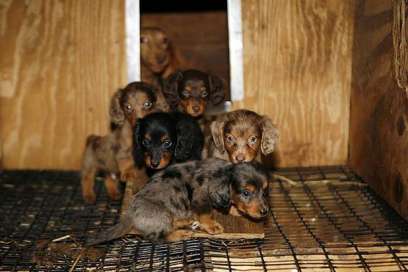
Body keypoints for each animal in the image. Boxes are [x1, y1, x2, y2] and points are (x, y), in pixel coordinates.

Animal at [86, 157, 270, 244]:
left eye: (265, 191)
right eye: (246, 192)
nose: (265, 211)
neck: (222, 172)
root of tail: (129, 214)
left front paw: (235, 209)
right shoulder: (200, 196)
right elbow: (206, 213)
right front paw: (212, 225)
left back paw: (185, 222)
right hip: (163, 216)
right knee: (157, 237)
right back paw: (180, 233)